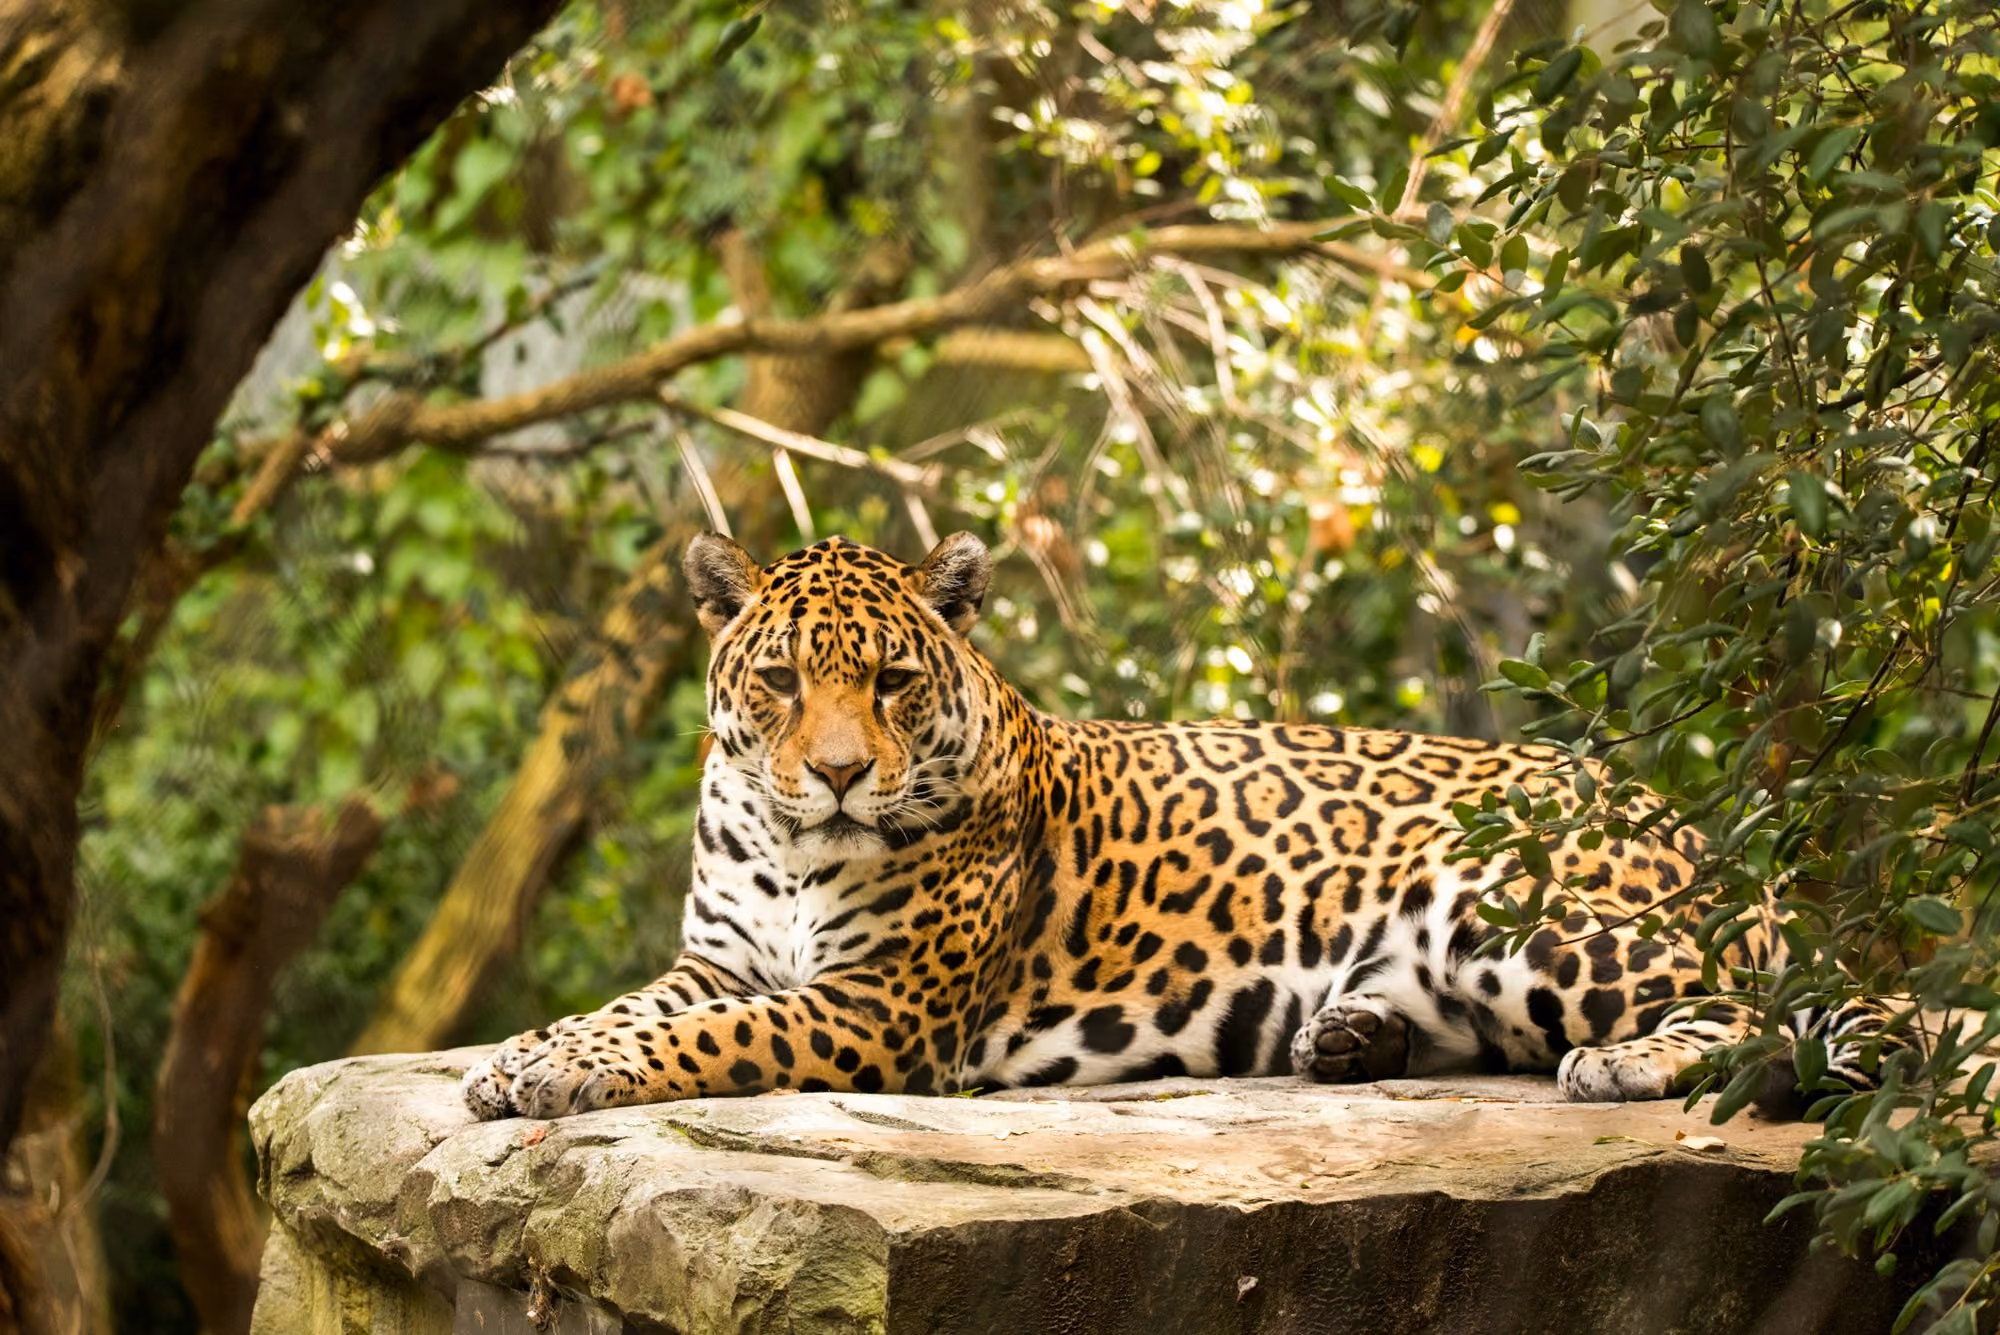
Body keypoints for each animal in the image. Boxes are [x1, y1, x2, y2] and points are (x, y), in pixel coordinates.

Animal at [463, 531, 1902, 1121]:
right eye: (777, 680)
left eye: (891, 679)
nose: (834, 774)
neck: (787, 842)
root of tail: (1682, 817)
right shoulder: (719, 955)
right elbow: (635, 1008)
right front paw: (523, 1054)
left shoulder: (877, 1006)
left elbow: (701, 1038)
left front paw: (555, 1071)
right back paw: (1349, 1033)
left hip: (1508, 902)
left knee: (1766, 1005)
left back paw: (1619, 1064)